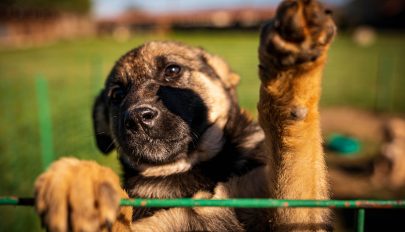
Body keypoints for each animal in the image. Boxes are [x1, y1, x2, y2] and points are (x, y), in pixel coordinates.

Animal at [34, 0, 334, 231]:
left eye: (173, 71)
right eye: (117, 95)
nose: (138, 119)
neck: (188, 171)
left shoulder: (290, 210)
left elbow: (294, 149)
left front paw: (290, 72)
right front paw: (83, 180)